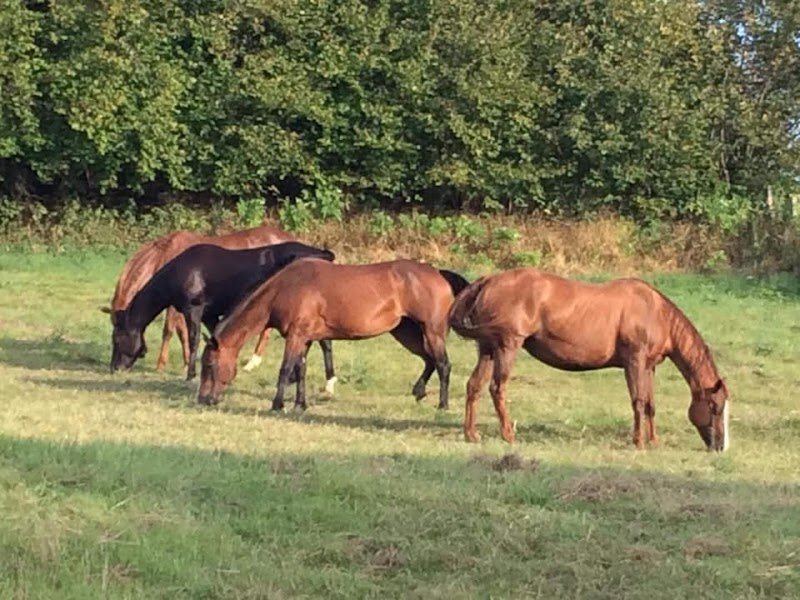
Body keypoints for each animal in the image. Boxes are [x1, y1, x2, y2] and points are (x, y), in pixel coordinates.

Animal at [103, 224, 294, 374]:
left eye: (116, 339)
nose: (114, 368)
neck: (165, 255)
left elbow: (169, 330)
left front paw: (161, 365)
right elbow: (182, 332)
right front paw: (186, 362)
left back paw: (252, 363)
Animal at [110, 242, 335, 380]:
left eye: (117, 339)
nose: (114, 368)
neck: (183, 271)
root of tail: (323, 255)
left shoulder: (194, 310)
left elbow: (193, 340)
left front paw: (190, 375)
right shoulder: (209, 315)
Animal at [197, 259, 470, 410]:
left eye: (209, 365)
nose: (203, 399)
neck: (286, 288)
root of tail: (438, 273)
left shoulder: (296, 336)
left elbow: (285, 369)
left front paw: (277, 404)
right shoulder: (304, 338)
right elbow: (301, 370)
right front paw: (300, 404)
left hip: (431, 331)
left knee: (443, 365)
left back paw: (442, 405)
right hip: (406, 332)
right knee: (429, 360)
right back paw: (419, 391)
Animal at [449, 267, 729, 451]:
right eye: (714, 406)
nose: (718, 446)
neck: (655, 312)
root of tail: (488, 280)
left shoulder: (649, 367)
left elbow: (650, 404)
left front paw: (654, 440)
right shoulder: (635, 362)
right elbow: (638, 401)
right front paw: (639, 442)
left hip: (488, 348)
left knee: (474, 386)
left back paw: (471, 434)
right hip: (508, 346)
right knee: (497, 388)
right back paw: (508, 435)